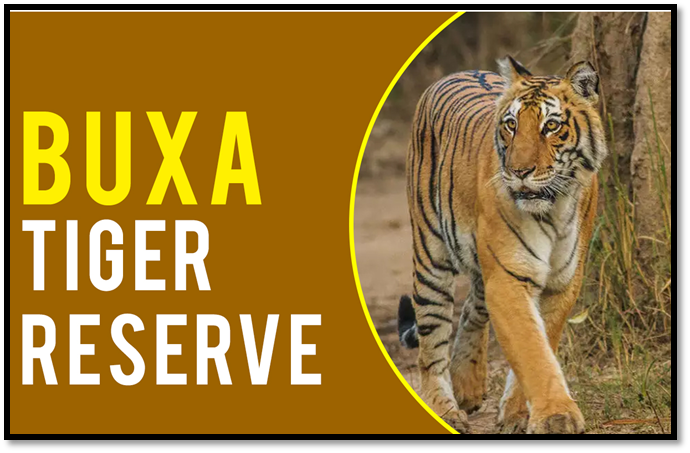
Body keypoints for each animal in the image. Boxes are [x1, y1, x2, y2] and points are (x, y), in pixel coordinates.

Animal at [397, 56, 605, 434]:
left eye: (551, 126)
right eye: (511, 125)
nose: (519, 171)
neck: (554, 208)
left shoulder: (562, 282)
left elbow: (542, 343)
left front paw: (518, 415)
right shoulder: (509, 278)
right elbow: (531, 350)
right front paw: (556, 416)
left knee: (472, 308)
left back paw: (468, 386)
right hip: (430, 254)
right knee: (431, 344)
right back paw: (445, 409)